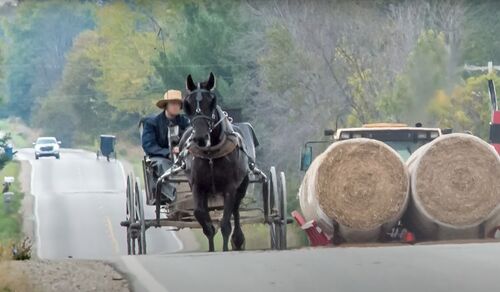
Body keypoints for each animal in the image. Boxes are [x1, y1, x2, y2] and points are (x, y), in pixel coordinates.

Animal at [183, 72, 249, 251]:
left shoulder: (230, 188)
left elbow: (226, 223)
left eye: (211, 102)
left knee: (235, 209)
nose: (200, 138)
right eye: (188, 104)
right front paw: (210, 236)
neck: (211, 154)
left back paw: (238, 239)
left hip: (242, 186)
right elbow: (199, 213)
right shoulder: (198, 187)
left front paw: (226, 247)